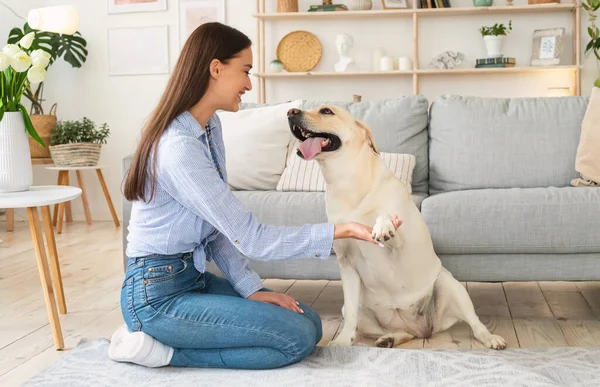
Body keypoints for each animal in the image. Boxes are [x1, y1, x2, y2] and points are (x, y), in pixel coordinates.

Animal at [288, 106, 506, 352]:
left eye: (326, 111)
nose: (290, 111)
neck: (347, 183)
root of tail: (423, 329)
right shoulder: (346, 264)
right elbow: (351, 313)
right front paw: (342, 341)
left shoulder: (401, 243)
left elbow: (386, 216)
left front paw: (382, 226)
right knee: (396, 330)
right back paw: (390, 338)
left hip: (449, 285)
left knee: (475, 322)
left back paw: (491, 338)